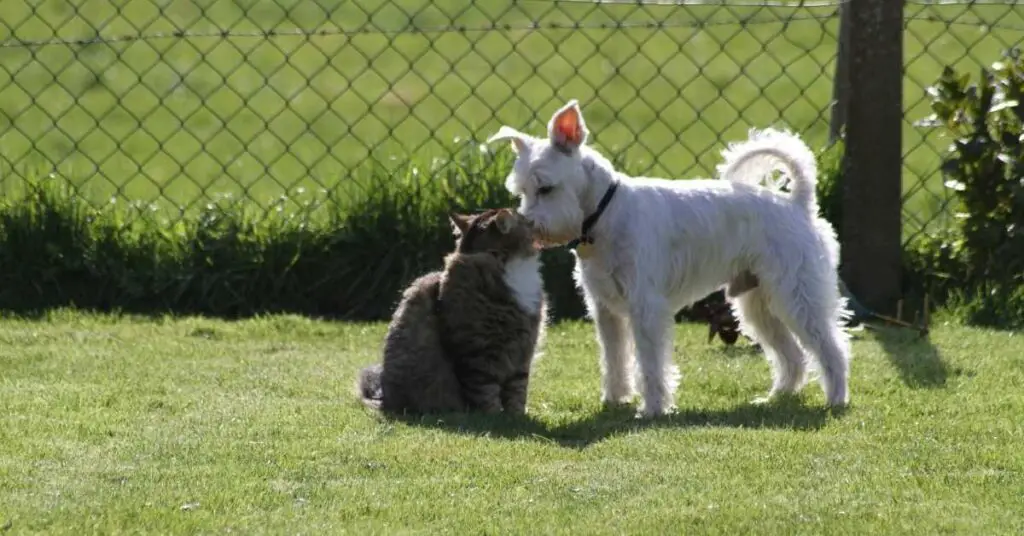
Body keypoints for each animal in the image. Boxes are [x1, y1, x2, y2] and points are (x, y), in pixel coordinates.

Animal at [362, 208, 552, 418]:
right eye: (525, 220)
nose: (533, 220)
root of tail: (384, 400)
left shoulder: (523, 353)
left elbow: (518, 391)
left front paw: (516, 416)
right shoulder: (477, 354)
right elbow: (486, 393)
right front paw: (494, 417)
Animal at [483, 101, 851, 420]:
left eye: (545, 188)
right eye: (521, 190)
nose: (530, 229)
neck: (604, 215)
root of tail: (799, 204)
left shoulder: (646, 307)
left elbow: (650, 363)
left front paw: (652, 408)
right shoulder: (606, 311)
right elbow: (615, 358)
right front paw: (615, 398)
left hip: (798, 296)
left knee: (832, 349)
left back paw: (836, 399)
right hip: (759, 304)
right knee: (793, 354)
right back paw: (777, 396)